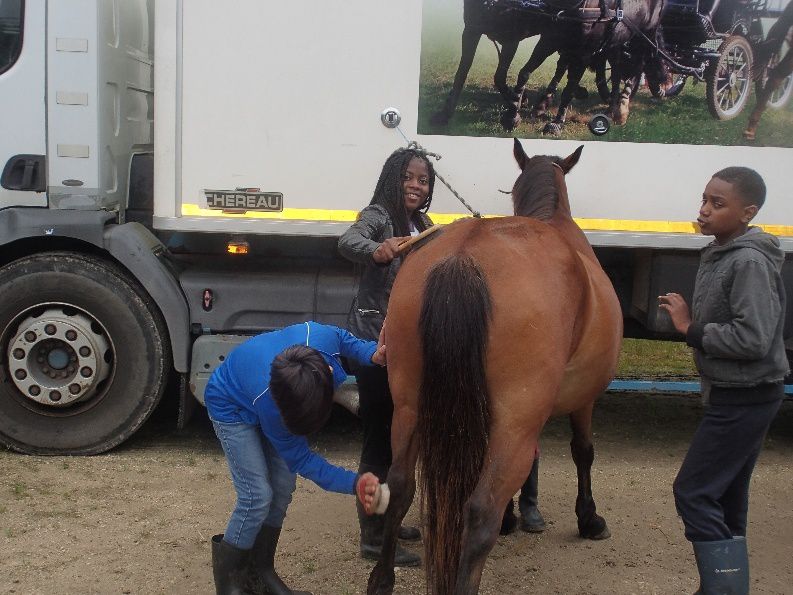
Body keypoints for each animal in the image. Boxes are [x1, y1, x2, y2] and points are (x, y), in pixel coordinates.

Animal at [368, 141, 620, 595]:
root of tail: (464, 256)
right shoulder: (581, 400)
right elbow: (583, 451)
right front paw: (589, 519)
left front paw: (515, 517)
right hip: (515, 423)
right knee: (480, 509)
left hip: (411, 407)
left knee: (399, 486)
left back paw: (381, 580)